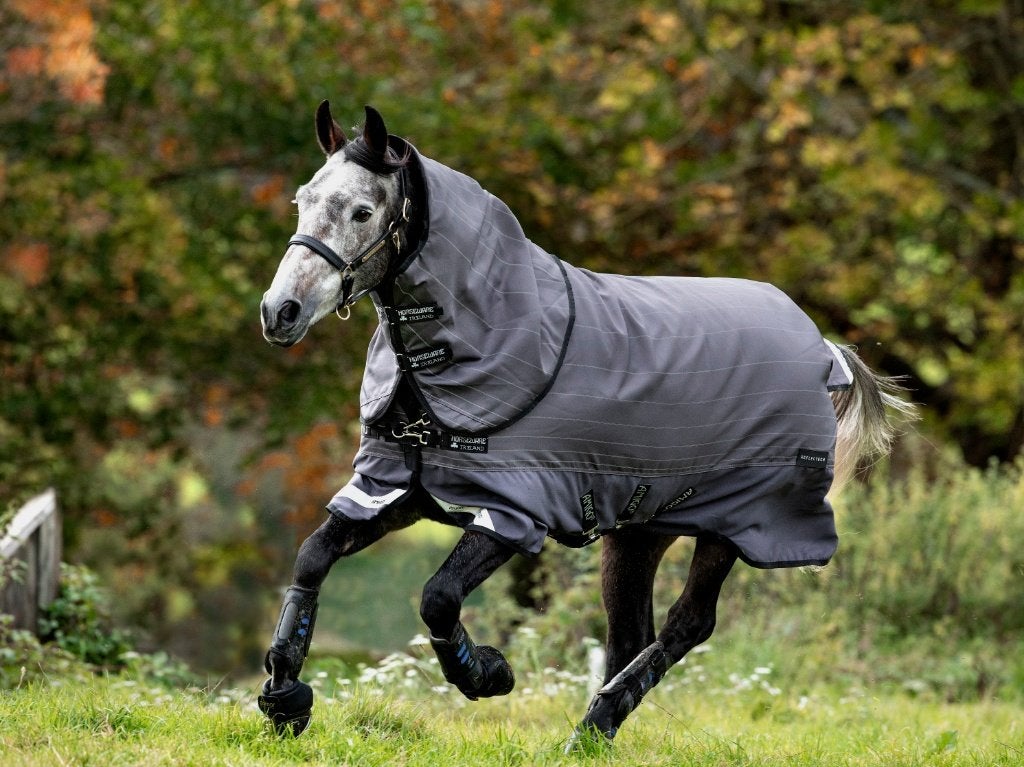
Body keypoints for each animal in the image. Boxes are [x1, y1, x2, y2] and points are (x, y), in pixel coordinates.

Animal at [256, 102, 914, 746]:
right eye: (302, 200)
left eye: (363, 211)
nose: (279, 312)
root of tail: (823, 349)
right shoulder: (396, 489)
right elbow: (312, 558)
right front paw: (284, 698)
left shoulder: (514, 510)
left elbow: (438, 598)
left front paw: (489, 674)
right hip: (640, 530)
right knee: (629, 634)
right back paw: (593, 734)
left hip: (735, 524)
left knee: (686, 624)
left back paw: (594, 723)